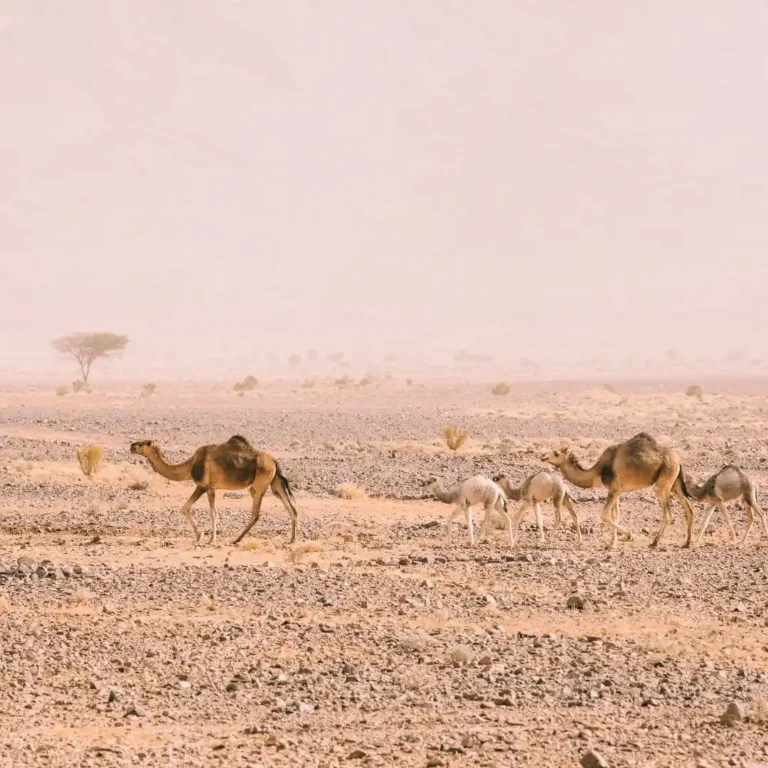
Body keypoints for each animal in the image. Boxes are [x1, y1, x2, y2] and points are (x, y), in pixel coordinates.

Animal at [129, 435, 299, 546]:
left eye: (144, 442)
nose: (131, 446)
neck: (190, 466)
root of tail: (274, 460)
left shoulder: (202, 486)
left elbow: (185, 508)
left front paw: (201, 536)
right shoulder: (212, 488)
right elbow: (213, 513)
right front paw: (211, 538)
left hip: (261, 480)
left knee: (256, 512)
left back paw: (237, 539)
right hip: (275, 482)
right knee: (291, 507)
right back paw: (292, 539)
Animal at [541, 432, 695, 549]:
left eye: (556, 453)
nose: (542, 456)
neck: (598, 471)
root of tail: (678, 460)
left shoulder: (614, 490)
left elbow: (604, 515)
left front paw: (628, 535)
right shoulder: (617, 491)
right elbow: (616, 516)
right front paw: (613, 542)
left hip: (664, 479)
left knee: (668, 513)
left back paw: (654, 542)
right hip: (674, 483)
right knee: (689, 509)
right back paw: (687, 543)